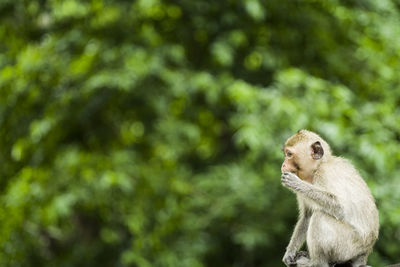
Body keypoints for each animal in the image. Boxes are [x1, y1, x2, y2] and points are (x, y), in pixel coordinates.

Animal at [280, 130, 380, 267]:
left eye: (289, 154)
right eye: (286, 154)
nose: (283, 165)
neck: (319, 165)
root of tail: (364, 253)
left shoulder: (324, 173)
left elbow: (341, 207)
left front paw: (297, 184)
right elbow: (307, 215)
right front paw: (289, 253)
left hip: (348, 246)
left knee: (319, 216)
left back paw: (316, 263)